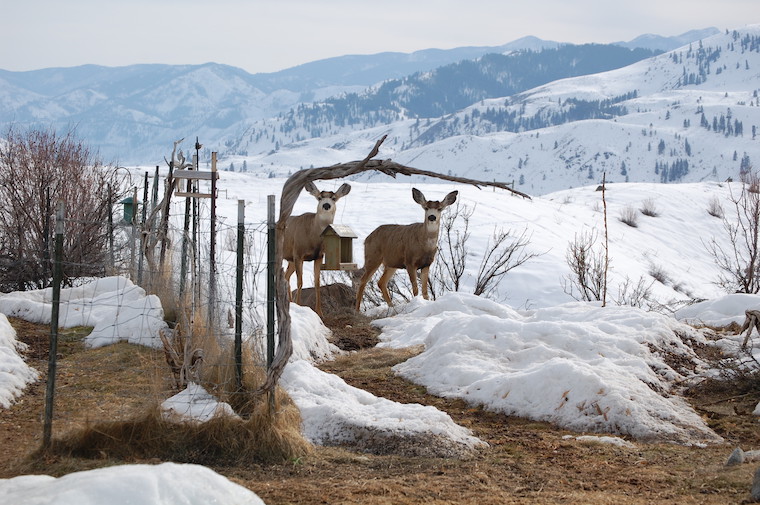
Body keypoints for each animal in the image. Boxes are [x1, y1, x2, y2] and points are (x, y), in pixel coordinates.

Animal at [283, 181, 351, 317]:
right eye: (319, 197)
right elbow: (300, 282)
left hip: (290, 259)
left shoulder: (319, 256)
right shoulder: (298, 254)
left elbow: (317, 282)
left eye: (334, 198)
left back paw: (290, 302)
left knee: (285, 276)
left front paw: (319, 312)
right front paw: (300, 306)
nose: (326, 205)